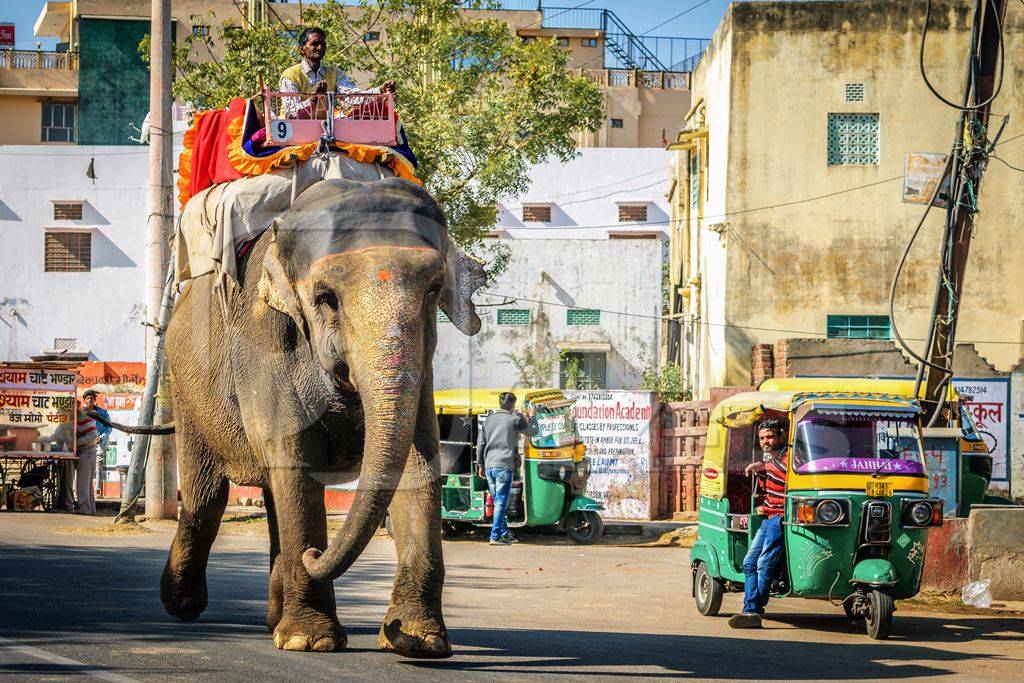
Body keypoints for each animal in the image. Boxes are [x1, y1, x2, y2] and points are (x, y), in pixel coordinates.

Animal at [158, 176, 483, 655]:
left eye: (432, 290)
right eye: (326, 298)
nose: (314, 556)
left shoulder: (423, 369)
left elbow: (416, 465)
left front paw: (418, 641)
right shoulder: (267, 345)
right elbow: (294, 462)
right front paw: (307, 641)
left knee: (269, 495)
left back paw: (273, 613)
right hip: (185, 386)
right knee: (206, 496)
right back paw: (182, 604)